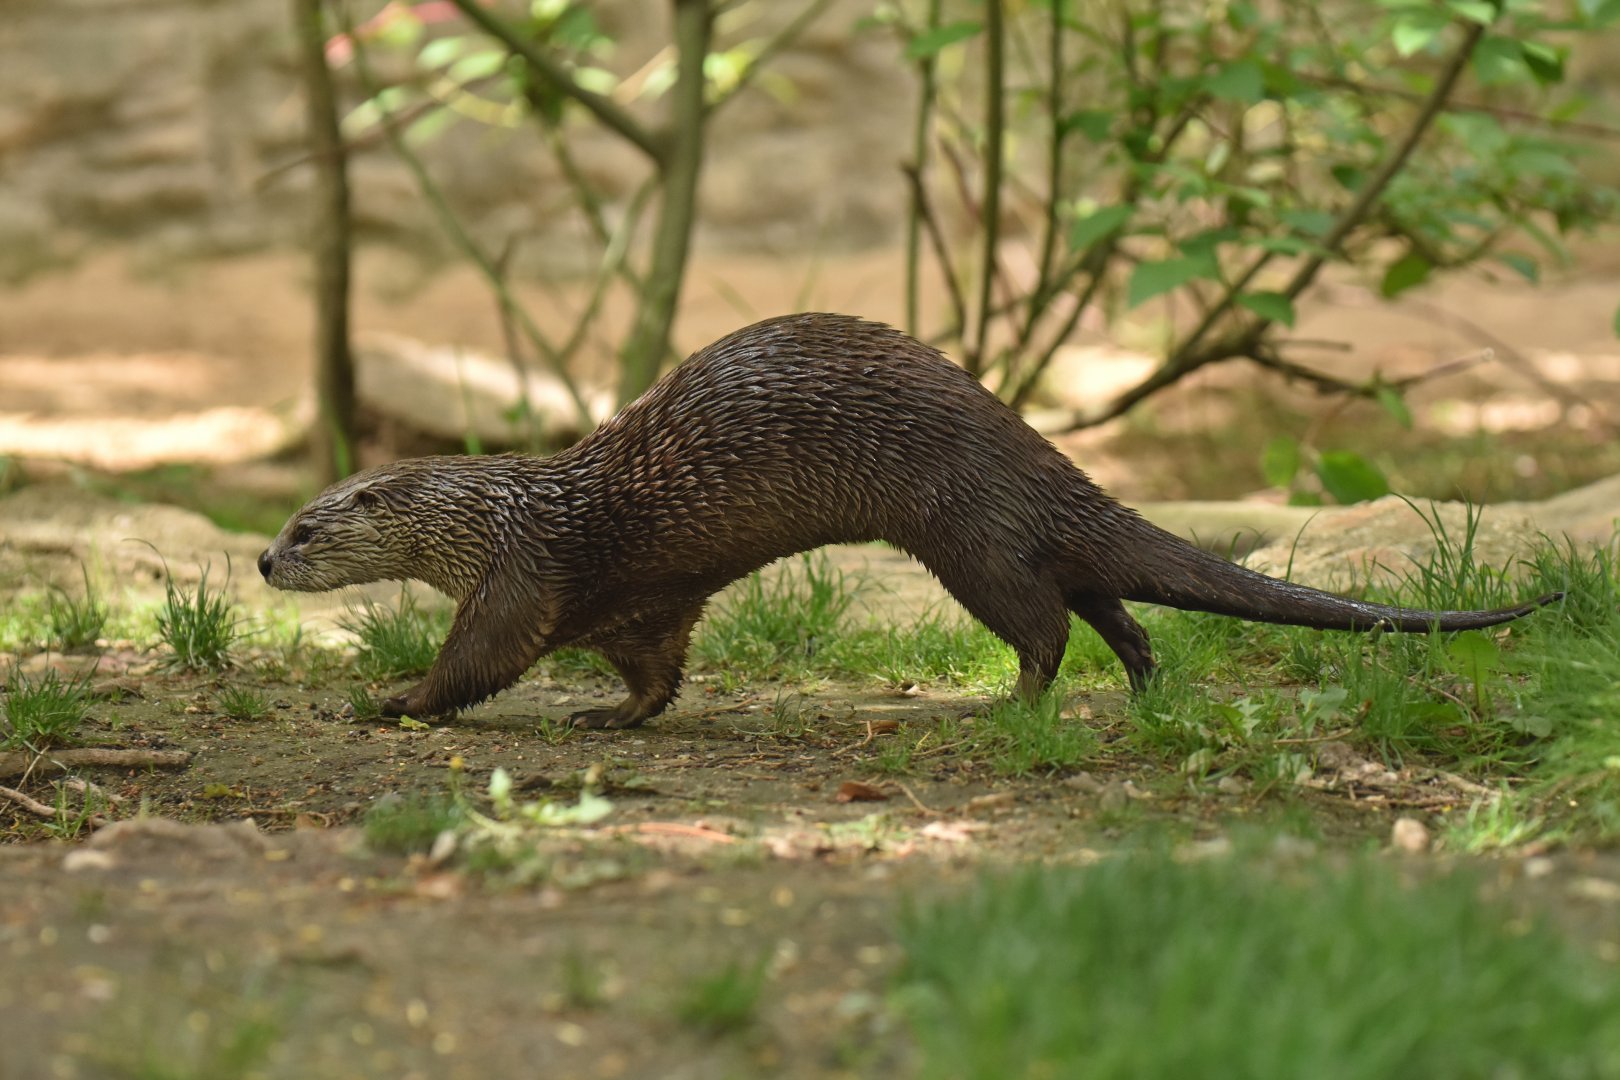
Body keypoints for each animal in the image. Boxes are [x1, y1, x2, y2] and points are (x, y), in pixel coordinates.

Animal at [259, 313, 1558, 728]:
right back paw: (1144, 689)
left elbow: (479, 660)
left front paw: (387, 702)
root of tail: (1027, 449)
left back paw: (1014, 706)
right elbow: (651, 668)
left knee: (1044, 620)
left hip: (965, 532)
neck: (509, 512)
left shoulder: (522, 576)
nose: (266, 559)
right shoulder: (639, 603)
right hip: (1011, 530)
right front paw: (610, 717)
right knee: (1110, 601)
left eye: (311, 527)